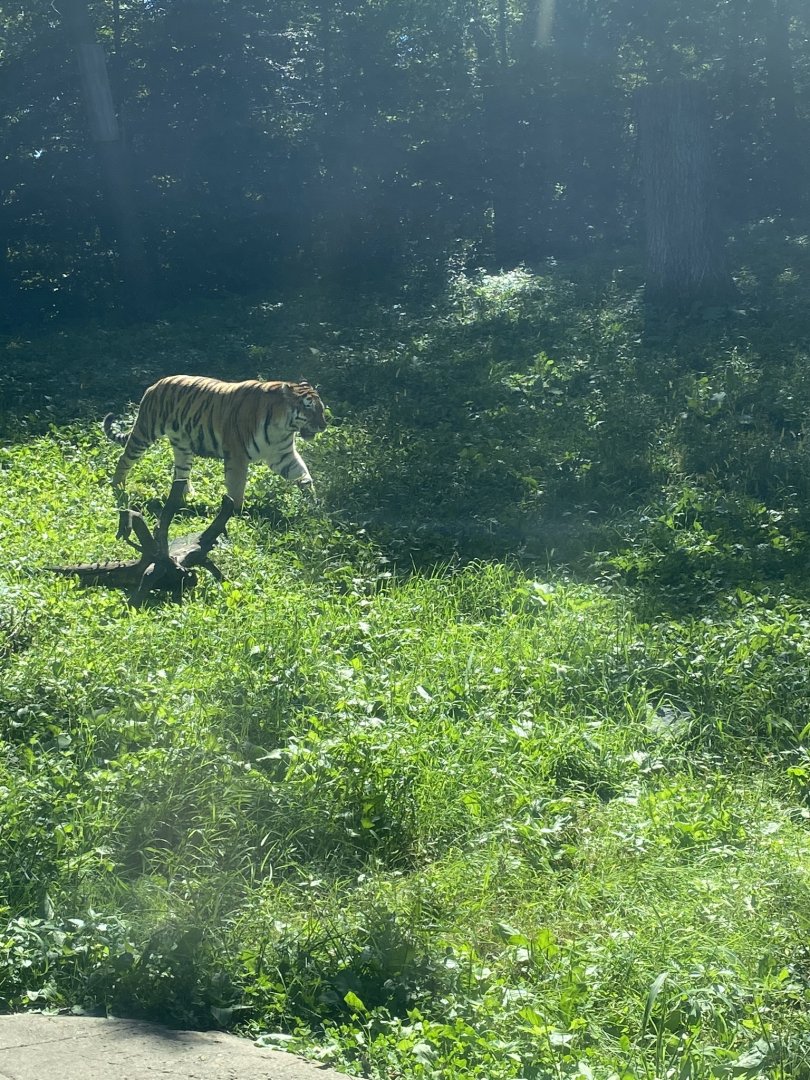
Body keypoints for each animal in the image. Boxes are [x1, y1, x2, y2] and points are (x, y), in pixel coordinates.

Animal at [103, 375, 327, 510]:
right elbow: (236, 486)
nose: (324, 425)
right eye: (309, 407)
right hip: (145, 431)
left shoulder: (282, 455)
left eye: (321, 408)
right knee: (125, 457)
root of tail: (155, 384)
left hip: (183, 447)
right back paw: (118, 487)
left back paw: (188, 497)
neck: (283, 427)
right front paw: (235, 513)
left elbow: (303, 474)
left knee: (180, 473)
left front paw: (314, 503)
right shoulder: (237, 455)